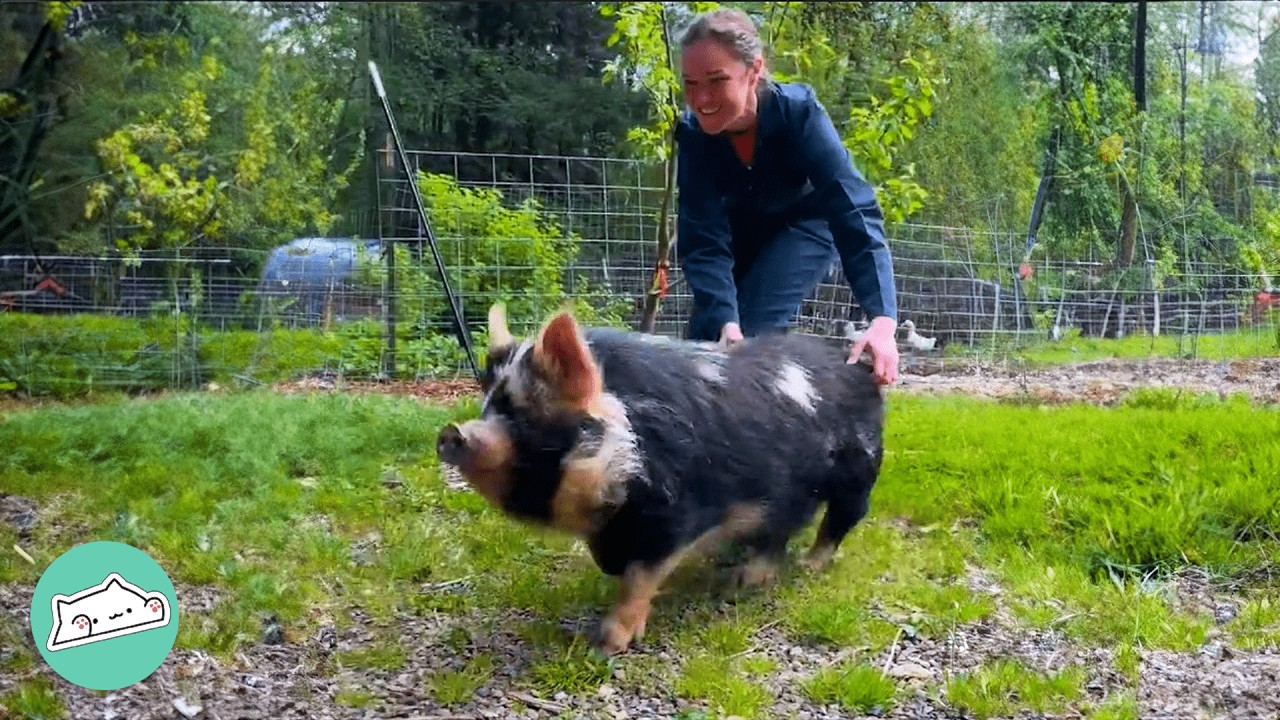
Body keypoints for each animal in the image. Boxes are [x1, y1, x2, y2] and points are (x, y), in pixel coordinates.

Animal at [436, 304, 885, 655]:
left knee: (840, 519)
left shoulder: (675, 512)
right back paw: (743, 580)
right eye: (487, 406)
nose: (451, 433)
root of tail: (857, 365)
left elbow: (640, 577)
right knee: (781, 528)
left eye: (524, 418)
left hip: (860, 469)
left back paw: (806, 568)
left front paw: (605, 645)